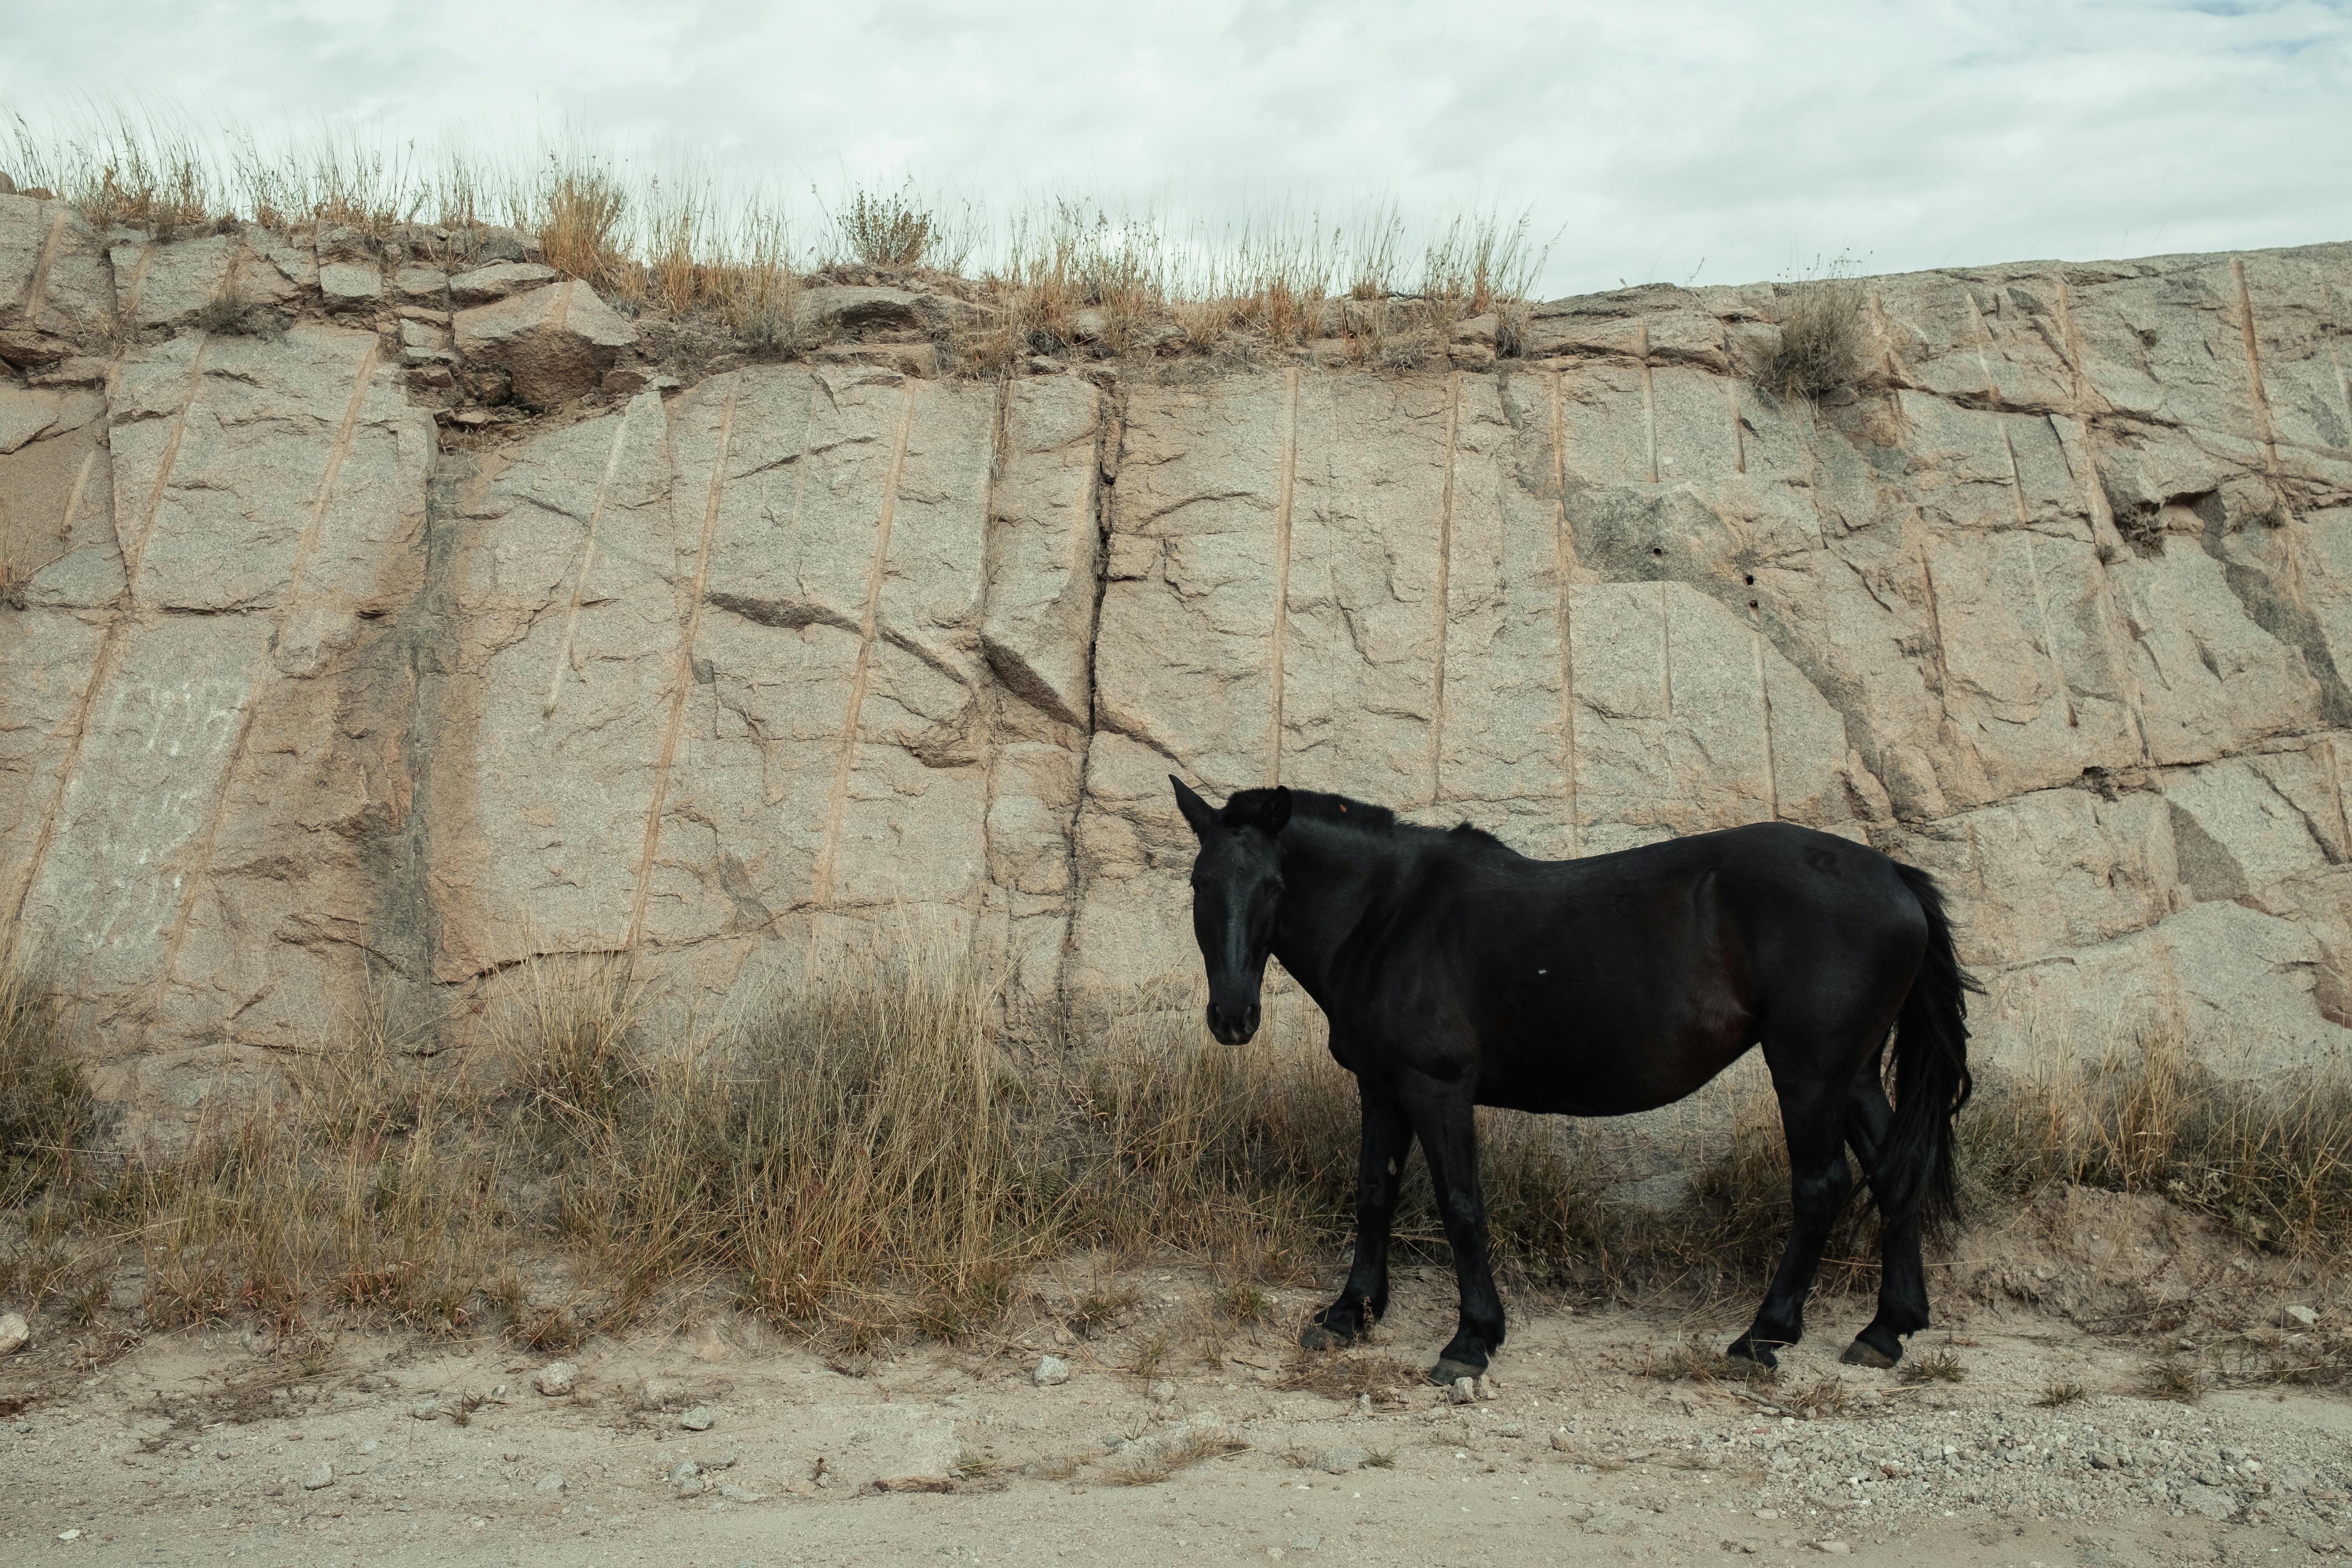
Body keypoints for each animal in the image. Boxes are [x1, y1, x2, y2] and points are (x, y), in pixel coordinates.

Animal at [1169, 777, 1974, 1383]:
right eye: (1200, 882)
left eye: (1273, 885)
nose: (1233, 1017)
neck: (1391, 916)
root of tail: (1894, 876)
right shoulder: (1381, 1087)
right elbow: (1374, 1194)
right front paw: (1348, 1315)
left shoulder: (1437, 1089)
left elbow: (1461, 1205)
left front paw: (1471, 1340)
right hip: (1854, 1073)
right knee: (1897, 1172)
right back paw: (1887, 1329)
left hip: (1808, 1074)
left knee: (1822, 1188)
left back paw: (1762, 1338)